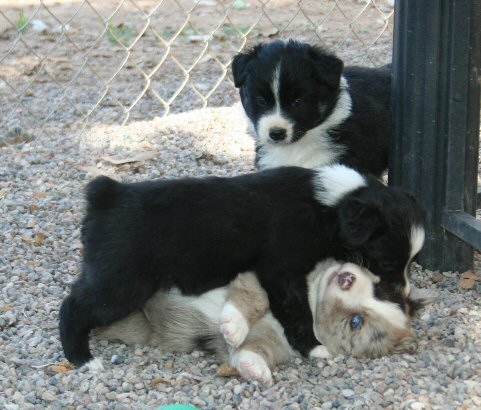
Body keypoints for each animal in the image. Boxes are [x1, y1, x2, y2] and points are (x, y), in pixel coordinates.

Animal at [58, 163, 422, 368]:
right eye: (387, 262)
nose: (404, 293)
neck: (327, 206)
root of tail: (108, 195)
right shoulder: (282, 273)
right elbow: (296, 311)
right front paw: (312, 348)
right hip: (122, 283)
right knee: (72, 307)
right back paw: (82, 359)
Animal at [98, 258, 432, 386]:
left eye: (356, 322)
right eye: (380, 288)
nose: (347, 277)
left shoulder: (274, 343)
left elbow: (251, 351)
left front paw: (255, 369)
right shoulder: (264, 270)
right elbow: (256, 297)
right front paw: (233, 324)